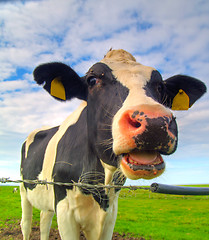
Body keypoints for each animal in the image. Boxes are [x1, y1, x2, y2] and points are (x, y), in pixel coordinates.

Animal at [20, 49, 207, 240]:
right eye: (92, 80)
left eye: (160, 87)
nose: (154, 122)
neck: (100, 184)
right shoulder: (65, 208)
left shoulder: (110, 214)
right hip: (23, 190)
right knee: (26, 223)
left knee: (44, 221)